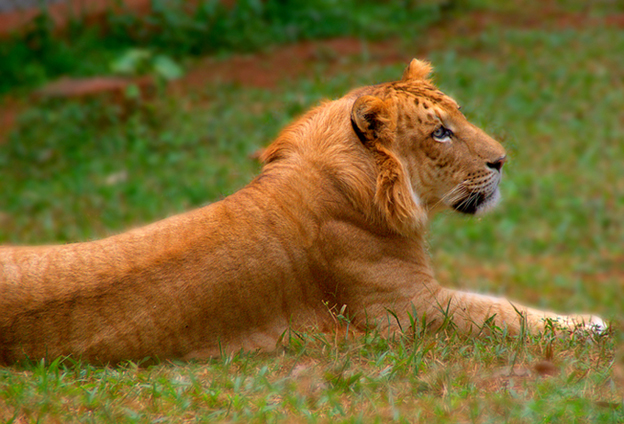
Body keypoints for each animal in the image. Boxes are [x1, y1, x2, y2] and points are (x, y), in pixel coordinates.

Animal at [0, 59, 604, 364]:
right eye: (440, 132)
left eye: (458, 116)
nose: (502, 160)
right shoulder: (408, 312)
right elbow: (503, 312)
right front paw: (588, 324)